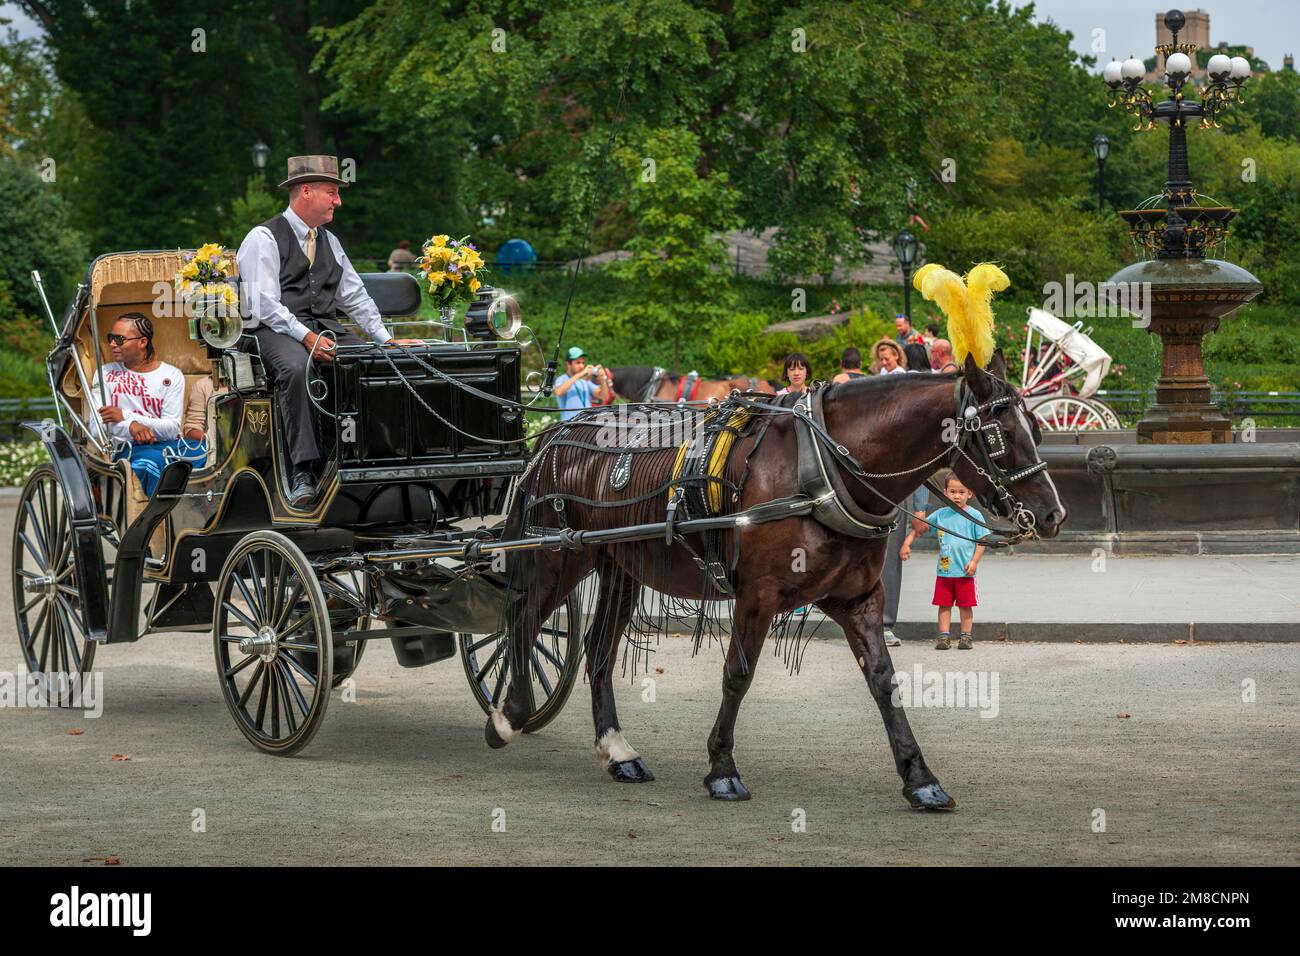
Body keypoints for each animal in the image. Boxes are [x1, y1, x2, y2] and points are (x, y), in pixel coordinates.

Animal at [488, 351, 1066, 806]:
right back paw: (508, 713)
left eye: (1037, 430)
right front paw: (722, 768)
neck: (825, 466)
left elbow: (884, 682)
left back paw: (616, 750)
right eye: (999, 436)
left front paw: (918, 776)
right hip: (558, 554)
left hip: (619, 565)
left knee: (598, 648)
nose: (1053, 513)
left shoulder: (859, 598)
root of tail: (557, 431)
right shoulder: (757, 595)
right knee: (521, 620)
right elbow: (737, 675)